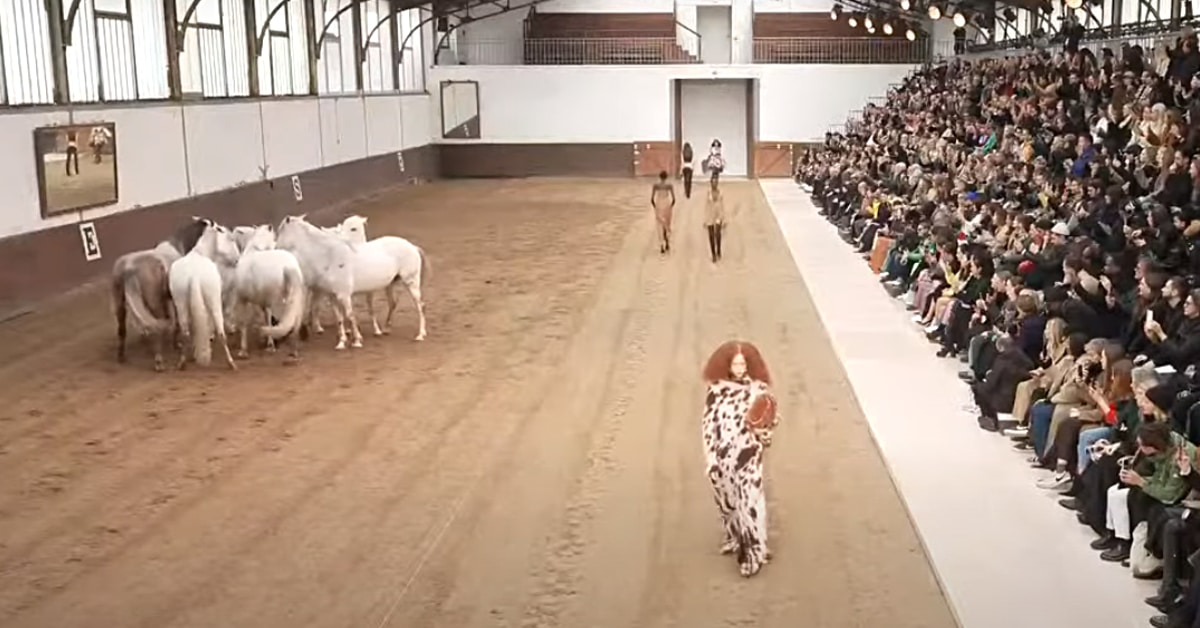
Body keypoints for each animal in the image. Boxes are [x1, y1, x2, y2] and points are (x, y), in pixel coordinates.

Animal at [112, 218, 208, 372]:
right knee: (157, 328)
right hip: (154, 304)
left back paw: (121, 357)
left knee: (122, 330)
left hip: (119, 305)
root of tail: (129, 269)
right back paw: (158, 361)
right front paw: (177, 344)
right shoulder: (173, 300)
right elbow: (177, 322)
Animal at [169, 220, 241, 369]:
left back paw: (182, 361)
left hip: (181, 305)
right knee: (221, 332)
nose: (237, 259)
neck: (199, 253)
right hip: (214, 302)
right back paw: (231, 362)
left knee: (185, 332)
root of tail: (194, 275)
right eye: (230, 238)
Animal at [229, 225, 304, 362]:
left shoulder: (242, 299)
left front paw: (243, 350)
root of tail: (288, 266)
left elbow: (243, 323)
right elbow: (267, 318)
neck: (253, 250)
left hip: (279, 301)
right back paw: (293, 350)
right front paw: (269, 343)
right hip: (295, 298)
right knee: (294, 322)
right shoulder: (264, 303)